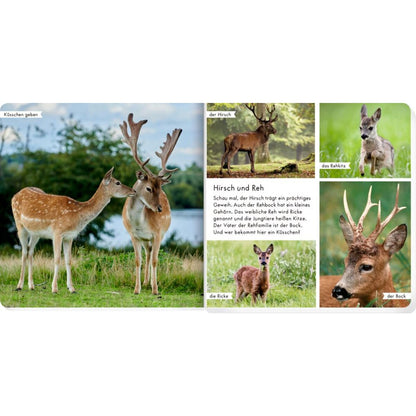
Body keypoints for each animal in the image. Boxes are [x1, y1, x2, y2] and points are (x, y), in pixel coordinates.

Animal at [118, 113, 180, 296]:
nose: (159, 208)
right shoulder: (134, 235)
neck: (140, 222)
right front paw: (137, 288)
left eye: (160, 188)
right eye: (148, 188)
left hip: (159, 235)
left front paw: (155, 289)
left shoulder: (158, 234)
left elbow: (155, 260)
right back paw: (145, 282)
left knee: (151, 254)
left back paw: (150, 283)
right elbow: (137, 260)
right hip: (145, 239)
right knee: (147, 253)